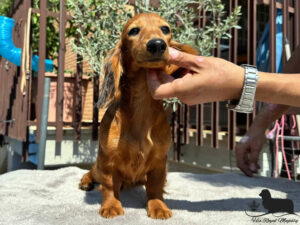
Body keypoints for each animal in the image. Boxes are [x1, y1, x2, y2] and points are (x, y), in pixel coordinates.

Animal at [78, 12, 198, 220]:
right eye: (134, 31)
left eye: (165, 29)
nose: (157, 44)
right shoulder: (107, 160)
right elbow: (108, 185)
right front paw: (111, 205)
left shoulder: (159, 161)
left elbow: (155, 186)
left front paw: (158, 206)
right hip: (98, 164)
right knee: (93, 172)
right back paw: (86, 181)